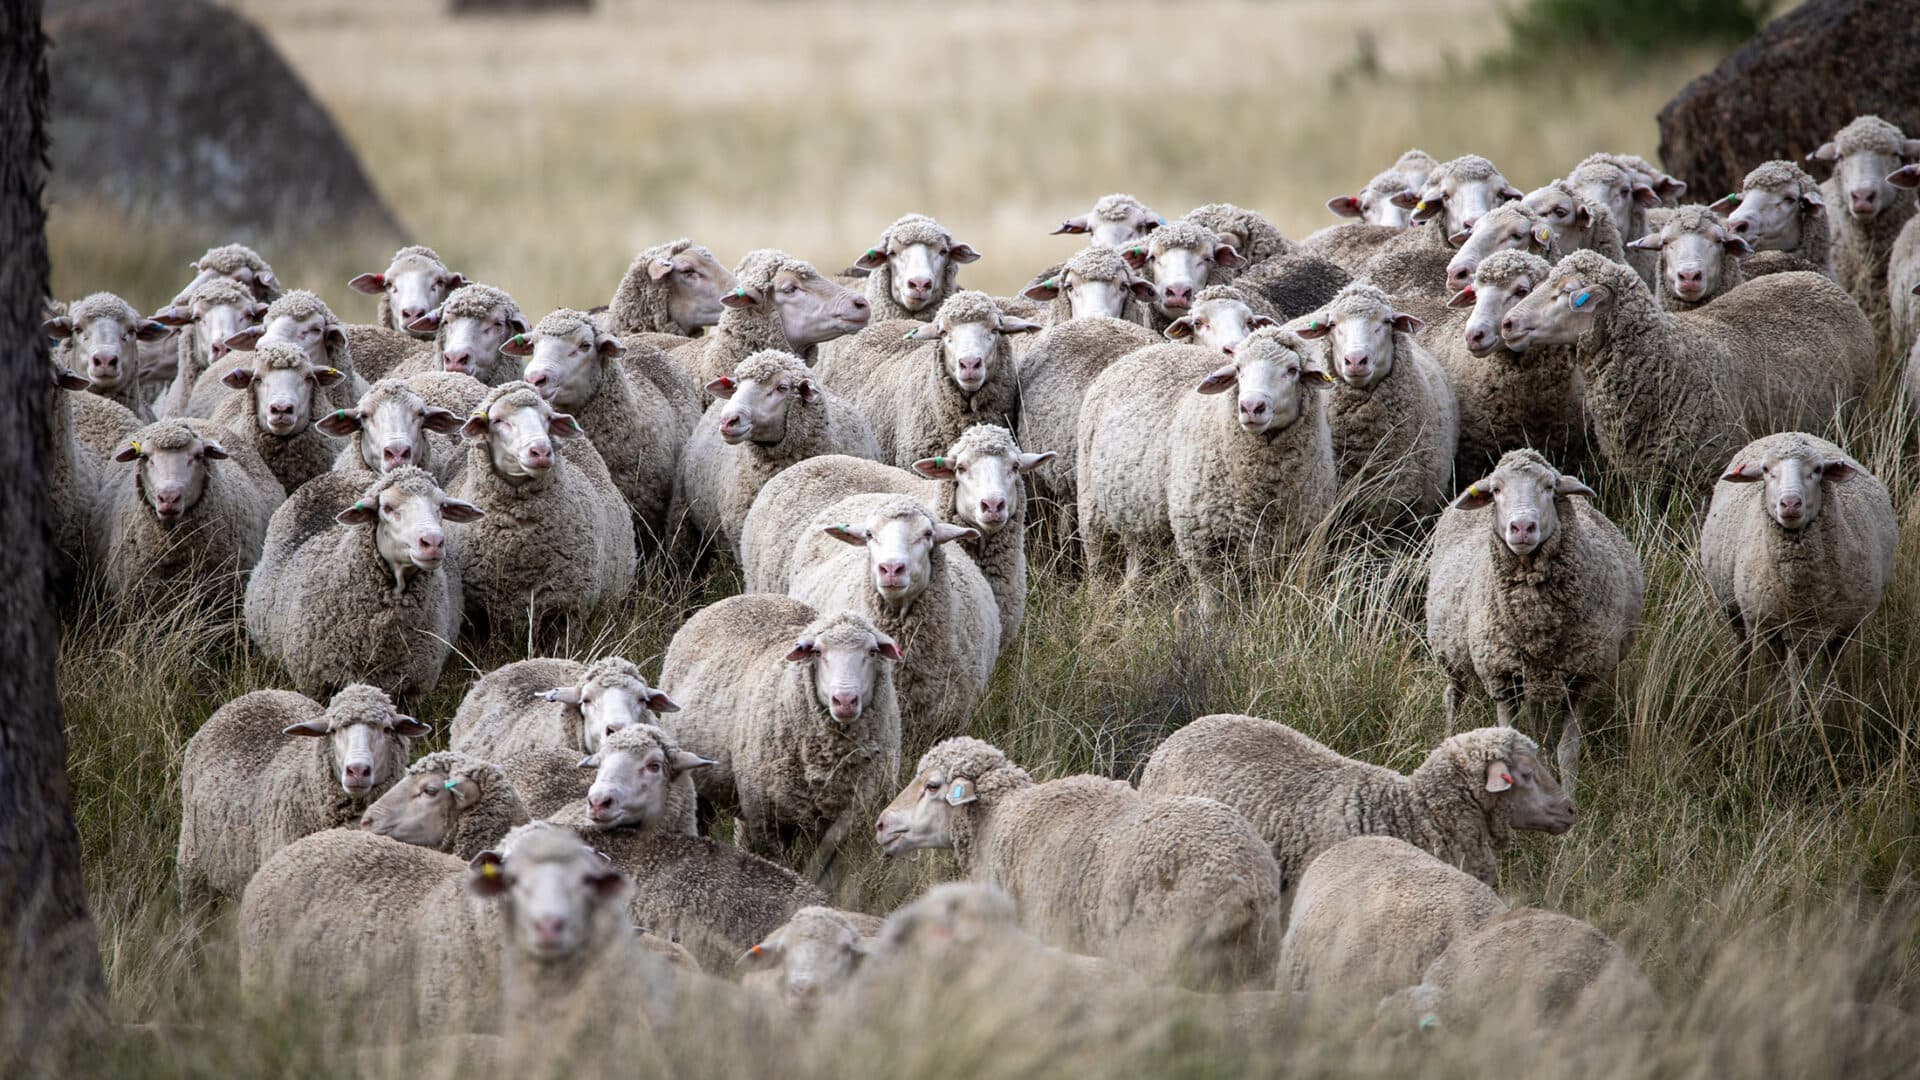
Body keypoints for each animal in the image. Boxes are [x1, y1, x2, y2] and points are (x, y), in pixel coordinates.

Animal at [245, 466, 480, 698]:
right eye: (387, 507)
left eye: (441, 506)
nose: (432, 542)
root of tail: (345, 473)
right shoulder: (314, 684)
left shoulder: (416, 688)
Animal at [658, 594, 901, 875]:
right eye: (818, 652)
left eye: (872, 652)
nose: (845, 701)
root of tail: (744, 597)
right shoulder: (769, 822)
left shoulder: (851, 828)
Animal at [1077, 329, 1335, 591]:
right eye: (1239, 369)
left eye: (1292, 370)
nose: (1251, 407)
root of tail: (1141, 352)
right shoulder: (1199, 541)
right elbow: (1211, 598)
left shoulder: (1305, 538)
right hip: (1091, 507)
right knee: (1098, 561)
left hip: (1138, 519)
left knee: (1136, 558)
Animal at [1426, 449, 1644, 793]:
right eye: (1496, 490)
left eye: (1549, 487)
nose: (1522, 527)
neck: (1537, 622)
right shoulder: (1501, 676)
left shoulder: (1582, 679)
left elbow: (1567, 751)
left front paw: (1568, 796)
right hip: (1453, 655)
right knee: (1453, 697)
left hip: (1536, 676)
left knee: (1539, 724)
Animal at [1700, 432, 1897, 689]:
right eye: (1765, 470)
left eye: (1818, 470)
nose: (1790, 503)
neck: (1800, 592)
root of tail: (1788, 432)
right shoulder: (1769, 627)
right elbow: (1777, 682)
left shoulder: (1843, 630)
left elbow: (1827, 681)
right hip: (1733, 610)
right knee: (1742, 650)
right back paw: (1739, 688)